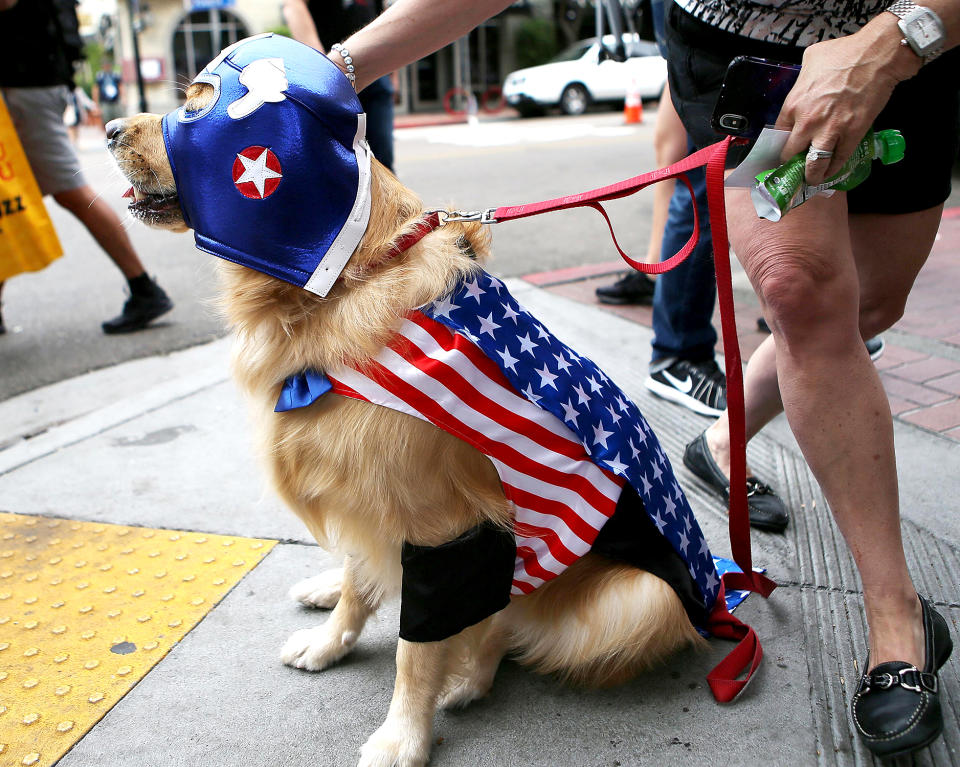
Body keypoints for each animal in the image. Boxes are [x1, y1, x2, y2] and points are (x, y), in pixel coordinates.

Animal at [107, 61, 704, 767]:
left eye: (199, 103)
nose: (109, 127)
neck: (348, 280)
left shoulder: (441, 524)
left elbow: (415, 650)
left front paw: (404, 734)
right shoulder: (361, 490)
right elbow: (358, 584)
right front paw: (332, 640)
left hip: (643, 597)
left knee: (505, 622)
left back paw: (469, 677)